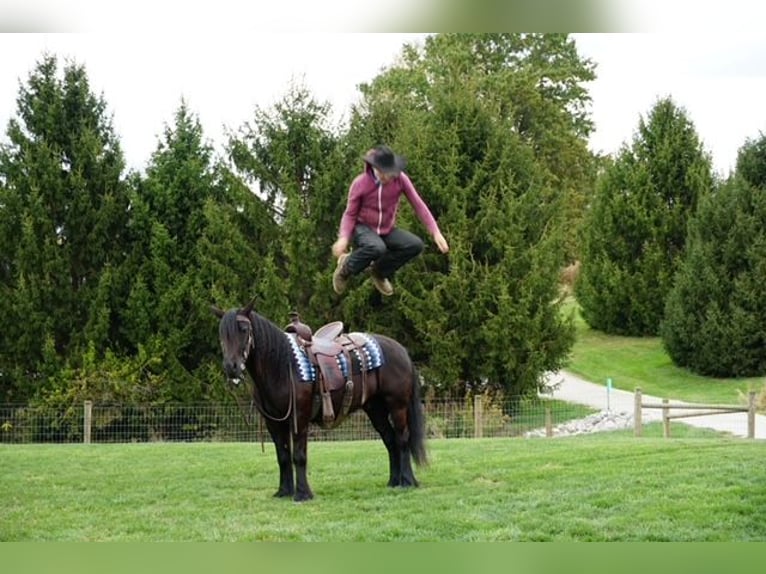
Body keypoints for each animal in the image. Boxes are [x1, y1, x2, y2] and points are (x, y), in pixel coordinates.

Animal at [211, 300, 427, 501]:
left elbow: (298, 455)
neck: (282, 365)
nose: (231, 367)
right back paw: (393, 481)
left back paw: (407, 481)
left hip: (397, 405)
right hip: (375, 408)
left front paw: (302, 494)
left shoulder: (299, 417)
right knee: (389, 440)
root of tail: (401, 350)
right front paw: (284, 491)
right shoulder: (273, 422)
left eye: (244, 329)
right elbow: (283, 456)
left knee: (401, 438)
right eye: (221, 333)